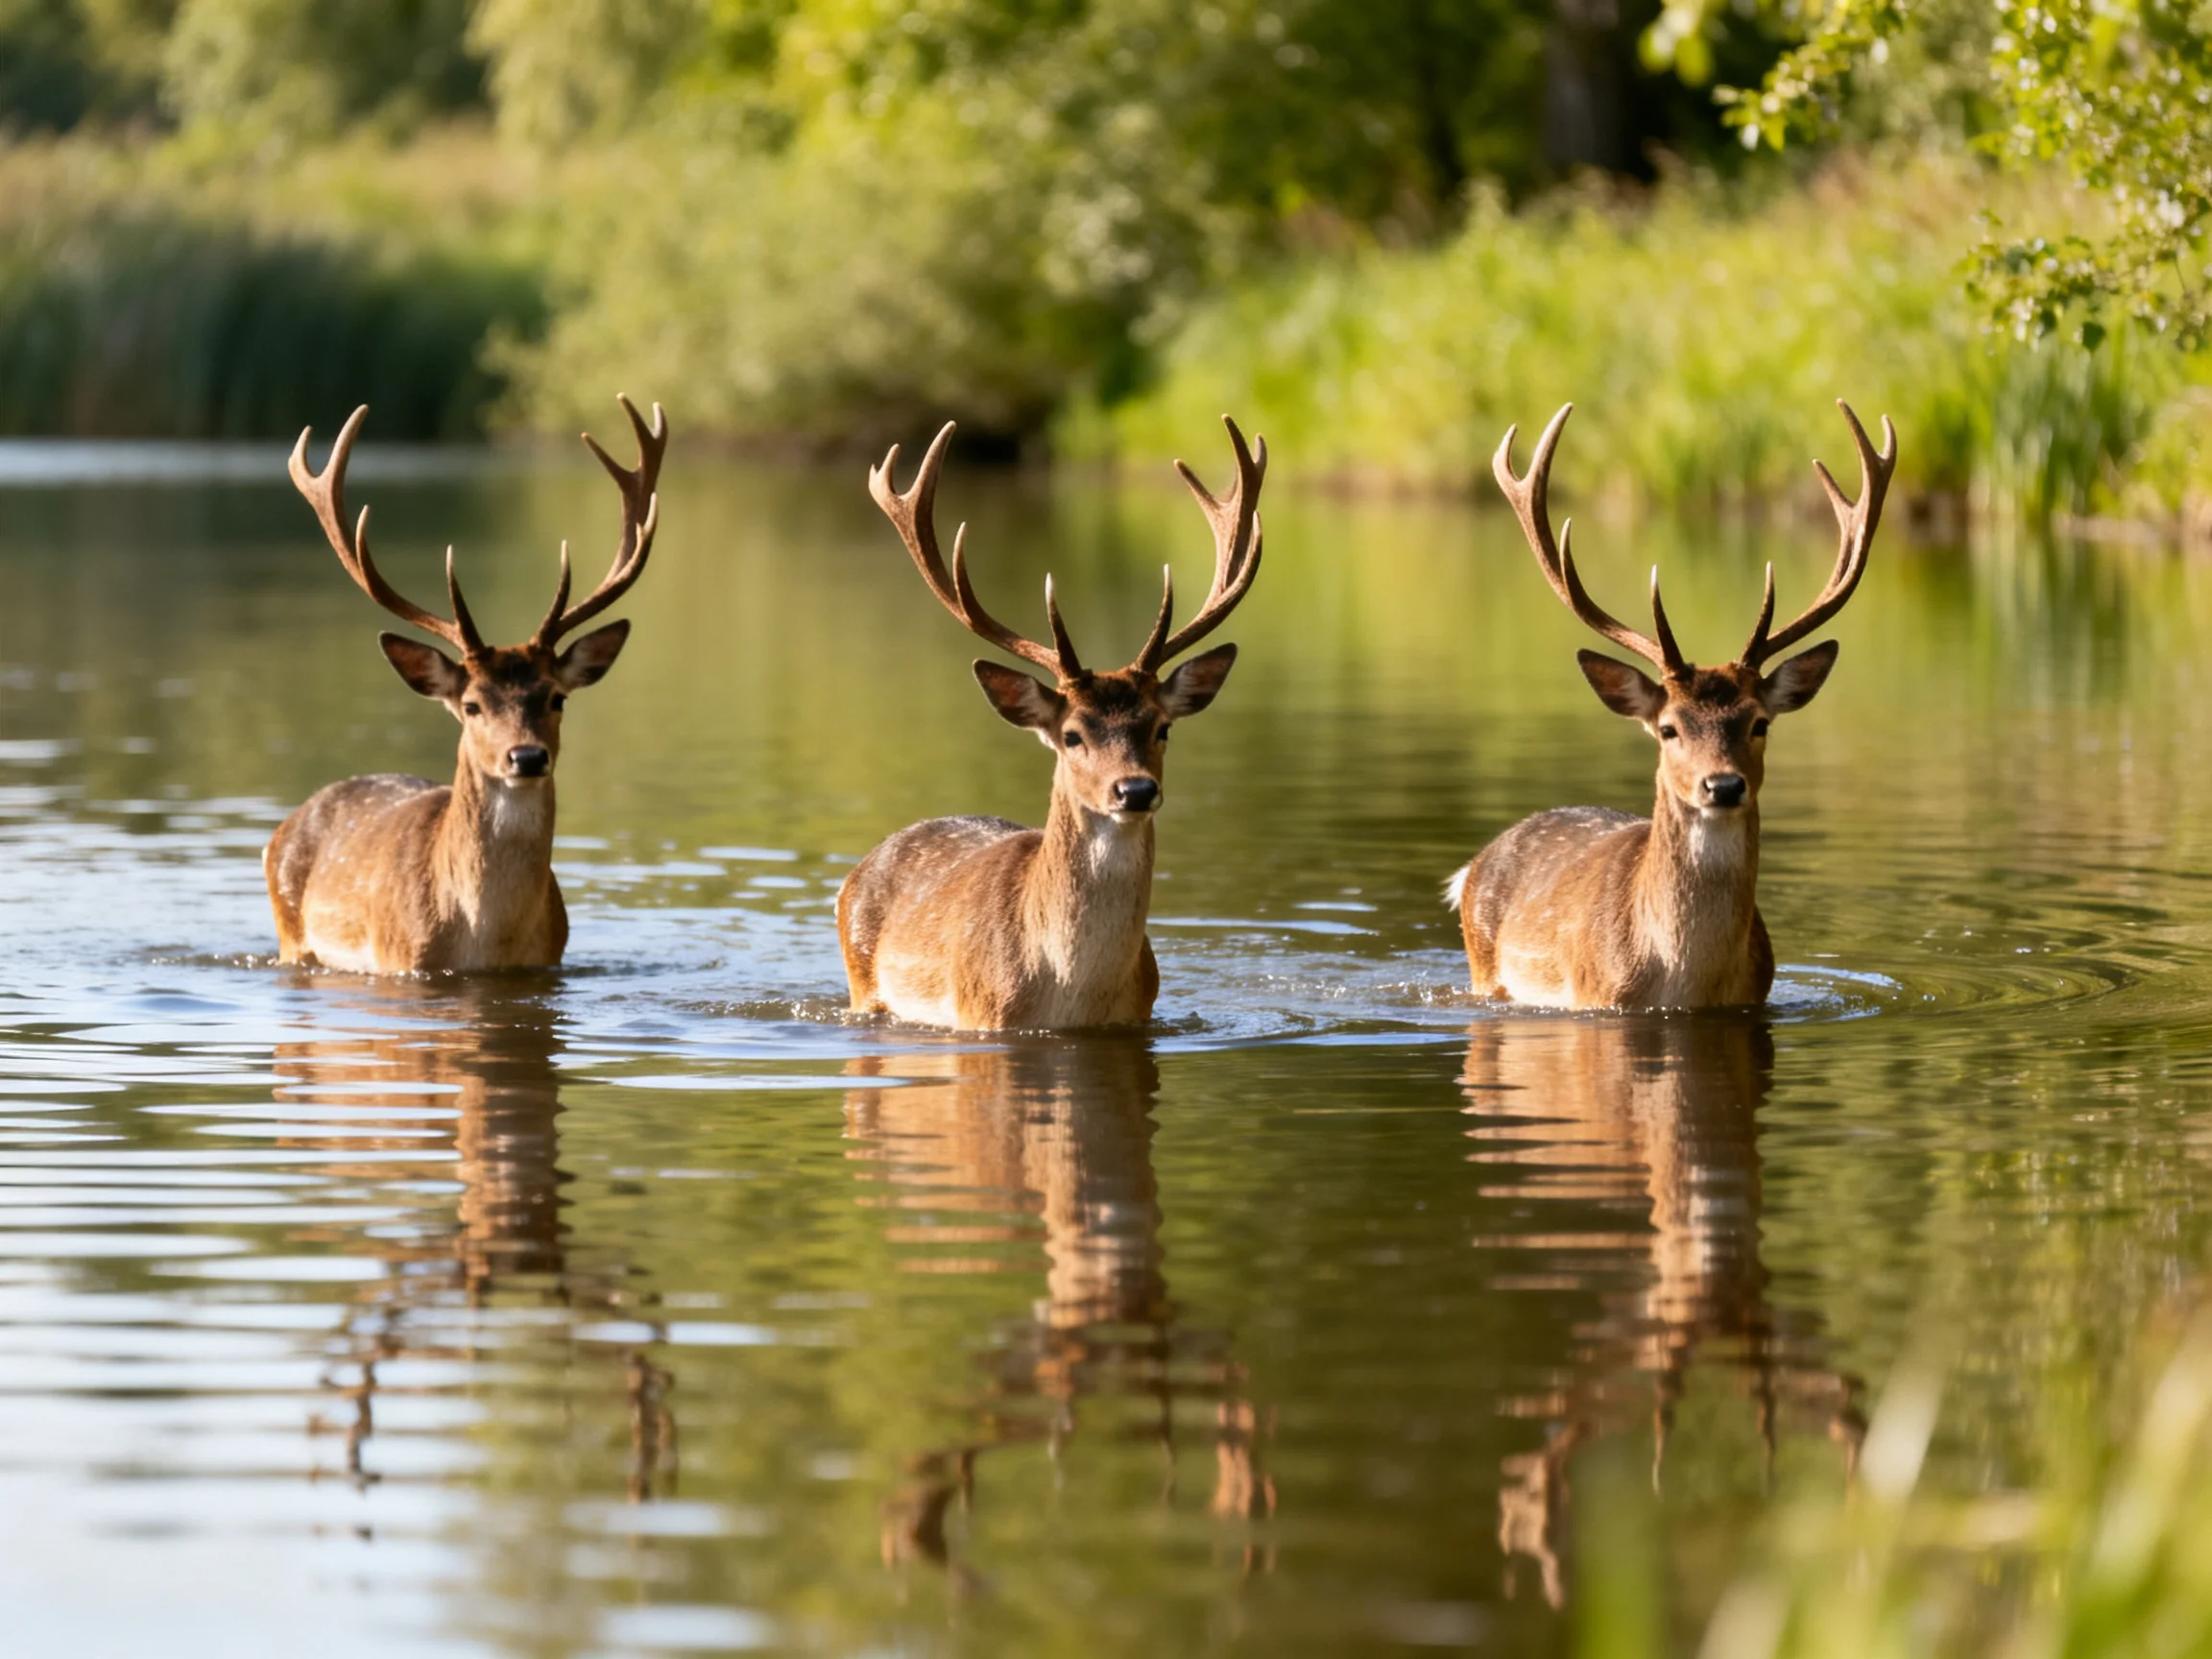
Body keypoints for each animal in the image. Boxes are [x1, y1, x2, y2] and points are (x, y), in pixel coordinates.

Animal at [264, 396, 666, 975]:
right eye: (472, 705)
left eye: (557, 698)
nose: (527, 756)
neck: (484, 942)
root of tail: (287, 823)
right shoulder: (401, 959)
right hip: (290, 934)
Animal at [838, 417, 1265, 1031]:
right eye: (1071, 735)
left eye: (1162, 727)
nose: (1135, 789)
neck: (1070, 995)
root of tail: (859, 870)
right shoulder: (982, 1015)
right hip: (861, 982)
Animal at [1448, 400, 1895, 1011]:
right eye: (1668, 728)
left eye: (1760, 723)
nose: (1724, 785)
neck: (1685, 984)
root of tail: (1472, 866)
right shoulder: (1596, 997)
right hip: (1483, 968)